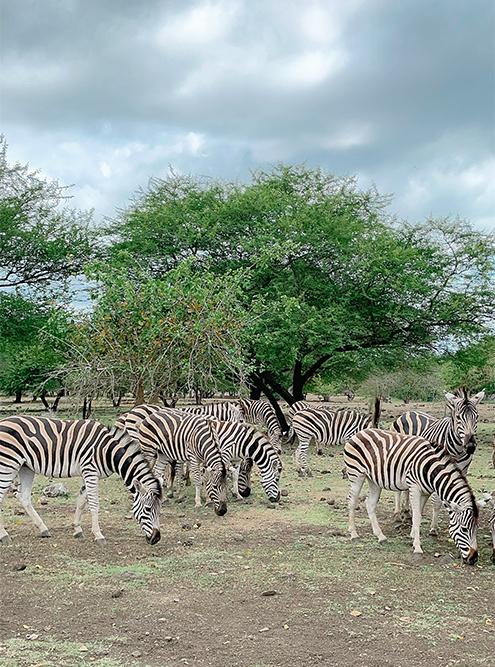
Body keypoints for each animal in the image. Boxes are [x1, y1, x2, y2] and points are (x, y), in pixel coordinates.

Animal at [0, 418, 163, 548]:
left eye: (159, 510)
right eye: (148, 509)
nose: (156, 538)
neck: (107, 451)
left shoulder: (89, 474)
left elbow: (81, 501)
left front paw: (77, 529)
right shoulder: (90, 471)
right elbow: (94, 504)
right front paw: (98, 535)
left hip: (25, 467)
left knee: (24, 497)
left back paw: (43, 529)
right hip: (8, 464)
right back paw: (4, 535)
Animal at [342, 428, 478, 564]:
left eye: (476, 528)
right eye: (464, 529)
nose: (474, 558)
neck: (431, 469)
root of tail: (360, 432)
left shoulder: (425, 492)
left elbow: (419, 513)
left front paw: (413, 535)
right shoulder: (414, 487)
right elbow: (417, 516)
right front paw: (417, 547)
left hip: (374, 480)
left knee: (370, 504)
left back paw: (381, 537)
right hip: (356, 474)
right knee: (352, 501)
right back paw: (354, 535)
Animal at [392, 386, 484, 532]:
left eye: (477, 417)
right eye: (458, 417)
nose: (470, 446)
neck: (457, 451)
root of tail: (409, 412)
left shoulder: (462, 471)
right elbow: (437, 501)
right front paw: (433, 528)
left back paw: (406, 513)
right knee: (398, 489)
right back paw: (397, 514)